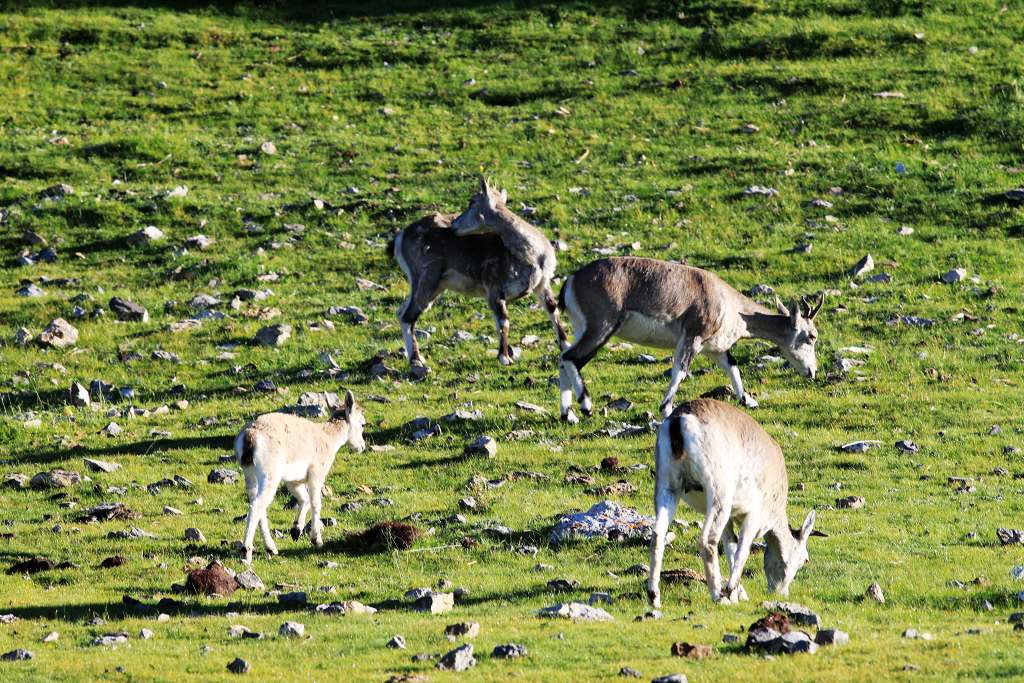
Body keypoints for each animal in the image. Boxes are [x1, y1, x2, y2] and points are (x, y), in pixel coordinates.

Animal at [387, 176, 573, 374]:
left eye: (472, 202)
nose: (454, 225)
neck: (531, 255)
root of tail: (400, 238)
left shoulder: (542, 284)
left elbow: (553, 310)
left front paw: (566, 345)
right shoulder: (494, 289)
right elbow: (503, 321)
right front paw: (504, 357)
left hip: (432, 285)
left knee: (401, 312)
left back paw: (417, 357)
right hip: (426, 279)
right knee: (408, 317)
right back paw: (416, 361)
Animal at [561, 255, 823, 421]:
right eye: (812, 336)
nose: (812, 371)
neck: (729, 303)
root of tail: (571, 281)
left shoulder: (715, 349)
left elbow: (733, 367)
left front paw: (748, 400)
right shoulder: (693, 338)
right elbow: (680, 370)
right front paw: (666, 409)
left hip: (583, 329)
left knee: (564, 358)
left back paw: (569, 415)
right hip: (601, 329)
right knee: (571, 357)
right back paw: (586, 407)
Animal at [647, 397, 823, 606]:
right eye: (805, 559)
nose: (781, 593)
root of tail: (678, 421)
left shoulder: (730, 519)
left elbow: (730, 547)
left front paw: (740, 594)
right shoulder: (754, 514)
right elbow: (742, 550)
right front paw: (731, 591)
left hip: (667, 486)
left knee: (657, 535)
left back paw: (654, 597)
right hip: (719, 491)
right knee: (707, 540)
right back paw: (718, 595)